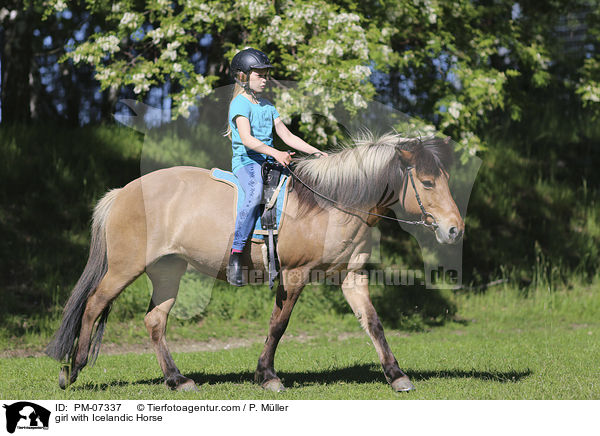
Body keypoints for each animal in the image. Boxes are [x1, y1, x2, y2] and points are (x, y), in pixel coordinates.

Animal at [45, 131, 464, 394]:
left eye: (445, 179)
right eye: (427, 183)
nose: (455, 229)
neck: (329, 204)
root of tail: (122, 192)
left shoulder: (352, 276)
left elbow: (373, 323)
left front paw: (397, 375)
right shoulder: (294, 275)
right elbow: (279, 325)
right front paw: (267, 376)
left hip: (167, 272)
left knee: (154, 321)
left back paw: (178, 380)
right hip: (123, 268)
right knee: (94, 304)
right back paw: (72, 369)